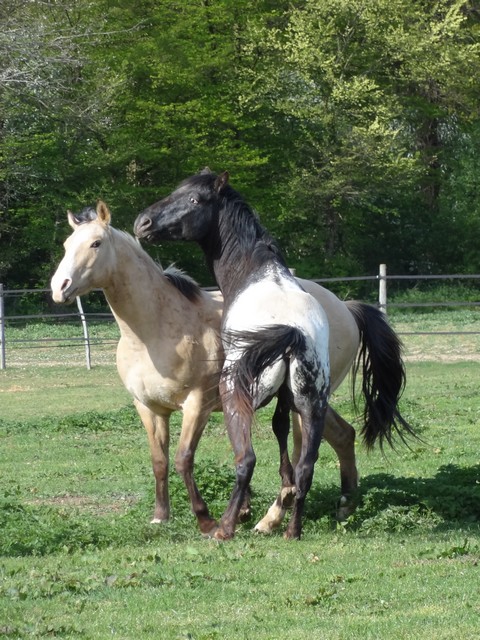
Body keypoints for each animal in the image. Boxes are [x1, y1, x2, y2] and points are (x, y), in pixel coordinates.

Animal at [134, 170, 415, 539]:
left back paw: (225, 527)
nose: (143, 222)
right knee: (307, 466)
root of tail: (292, 332)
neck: (258, 269)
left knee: (246, 460)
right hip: (311, 404)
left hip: (237, 399)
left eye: (194, 199)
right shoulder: (286, 398)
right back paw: (292, 529)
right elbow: (282, 432)